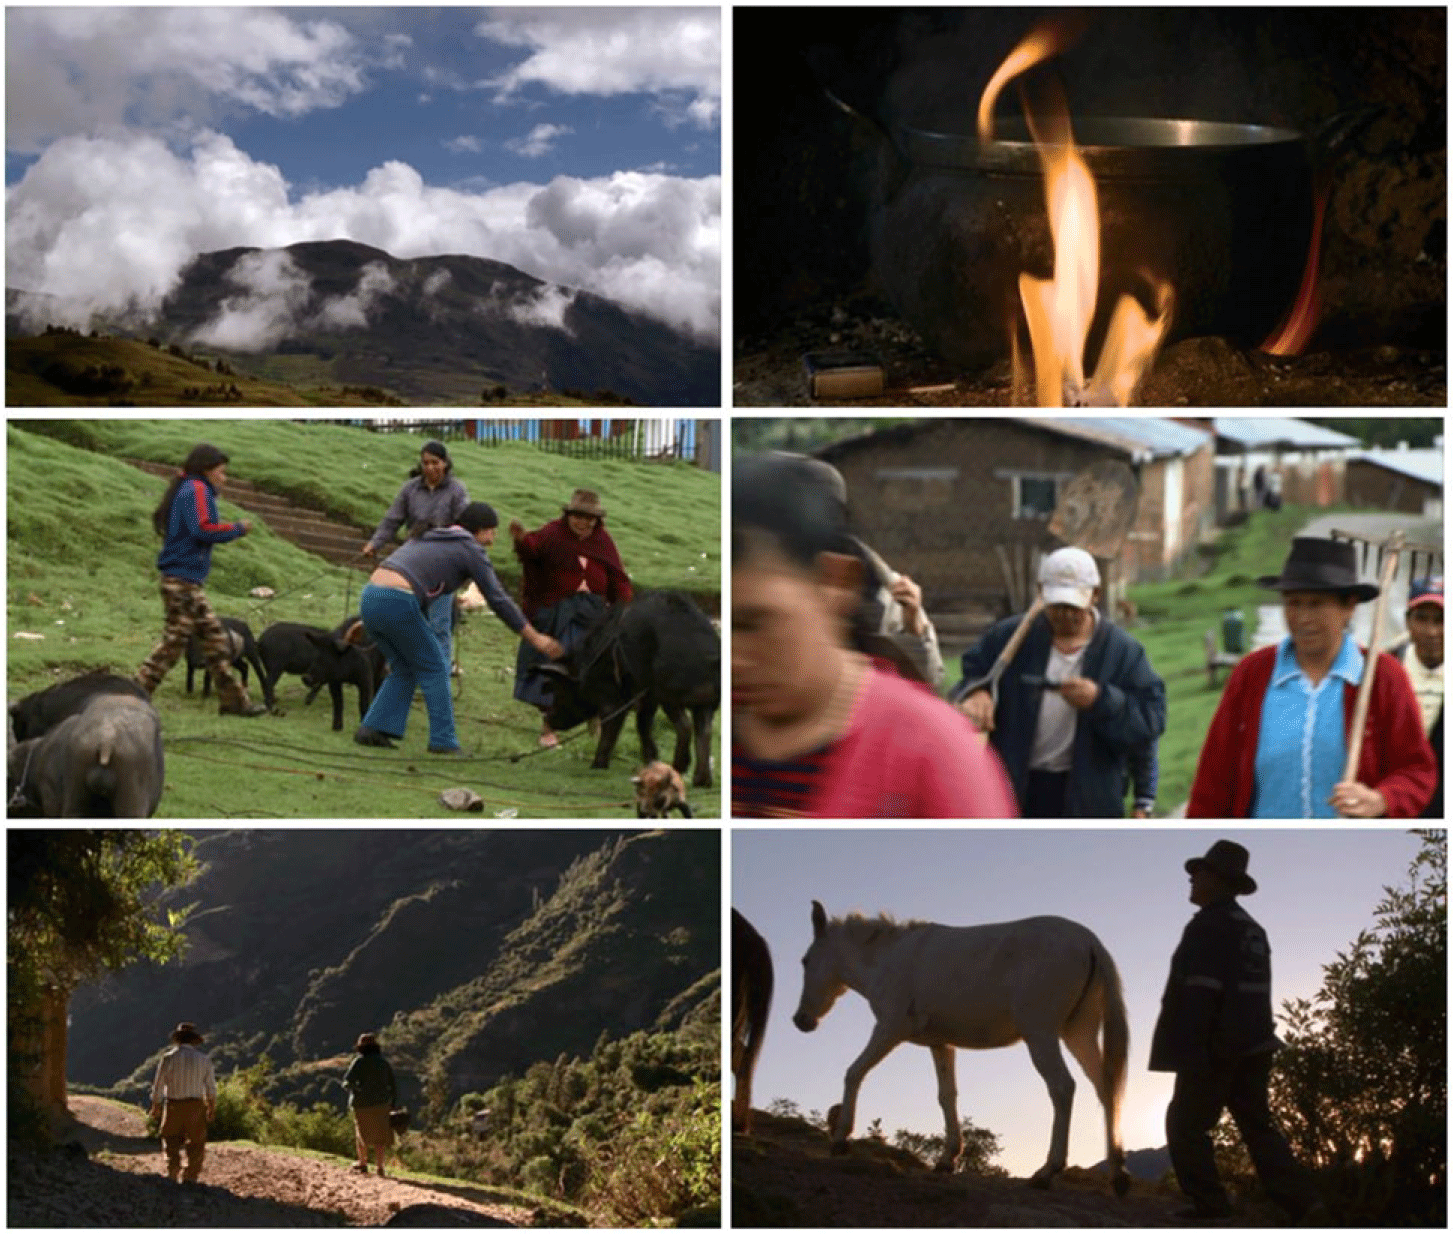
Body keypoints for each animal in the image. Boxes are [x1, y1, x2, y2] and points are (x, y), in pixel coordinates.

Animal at [796, 895, 1133, 1191]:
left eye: (805, 960)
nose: (801, 1020)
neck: (889, 957)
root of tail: (1088, 940)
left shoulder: (890, 1028)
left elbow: (854, 1072)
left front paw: (840, 1138)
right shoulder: (941, 1045)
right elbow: (947, 1097)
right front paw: (947, 1159)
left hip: (1041, 1035)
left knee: (1062, 1088)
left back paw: (1047, 1172)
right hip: (1079, 1034)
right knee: (1106, 1088)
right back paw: (1118, 1175)